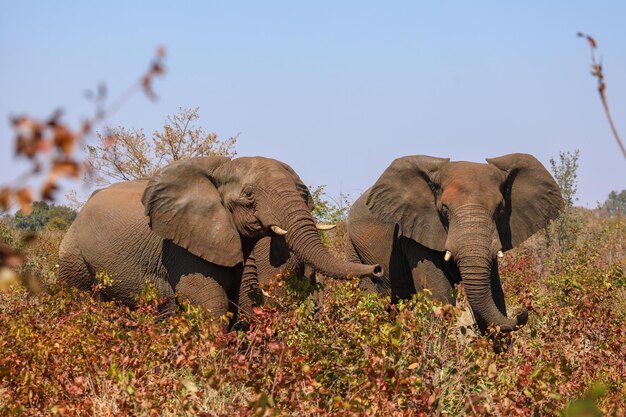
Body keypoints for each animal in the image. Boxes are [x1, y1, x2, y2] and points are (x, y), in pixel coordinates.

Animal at [58, 156, 380, 322]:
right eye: (249, 195)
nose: (377, 268)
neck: (221, 166)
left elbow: (242, 298)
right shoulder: (180, 246)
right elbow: (210, 301)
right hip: (73, 257)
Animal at [346, 152, 560, 332]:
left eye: (499, 209)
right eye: (445, 210)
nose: (523, 310)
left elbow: (495, 295)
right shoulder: (414, 234)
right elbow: (440, 298)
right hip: (356, 253)